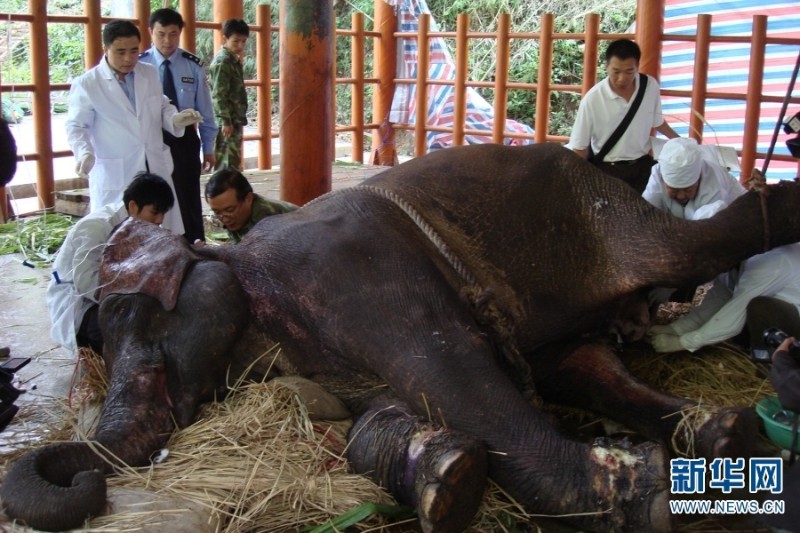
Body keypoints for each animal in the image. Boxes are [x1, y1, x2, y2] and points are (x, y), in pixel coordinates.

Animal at [1, 142, 800, 532]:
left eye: (145, 327)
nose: (82, 474)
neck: (235, 262)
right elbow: (388, 414)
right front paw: (448, 478)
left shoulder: (359, 279)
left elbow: (453, 373)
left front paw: (645, 498)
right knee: (584, 364)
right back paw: (723, 435)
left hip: (599, 210)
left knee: (678, 251)